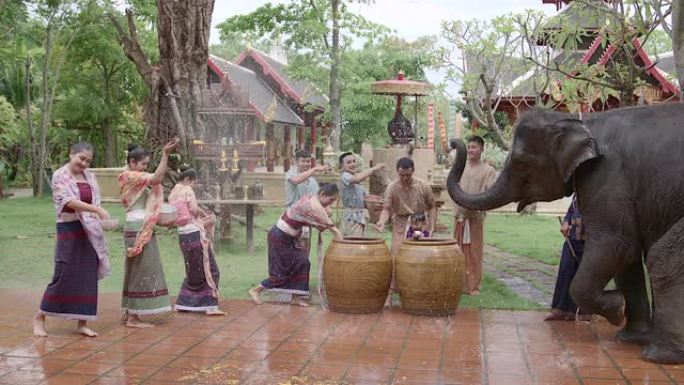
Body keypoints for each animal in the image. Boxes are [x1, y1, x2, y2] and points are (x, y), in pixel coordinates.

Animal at [446, 102, 684, 364]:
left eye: (521, 162)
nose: (453, 143)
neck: (582, 120)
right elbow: (628, 254)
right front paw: (629, 336)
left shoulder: (608, 177)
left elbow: (616, 244)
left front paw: (616, 309)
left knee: (662, 259)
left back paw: (659, 356)